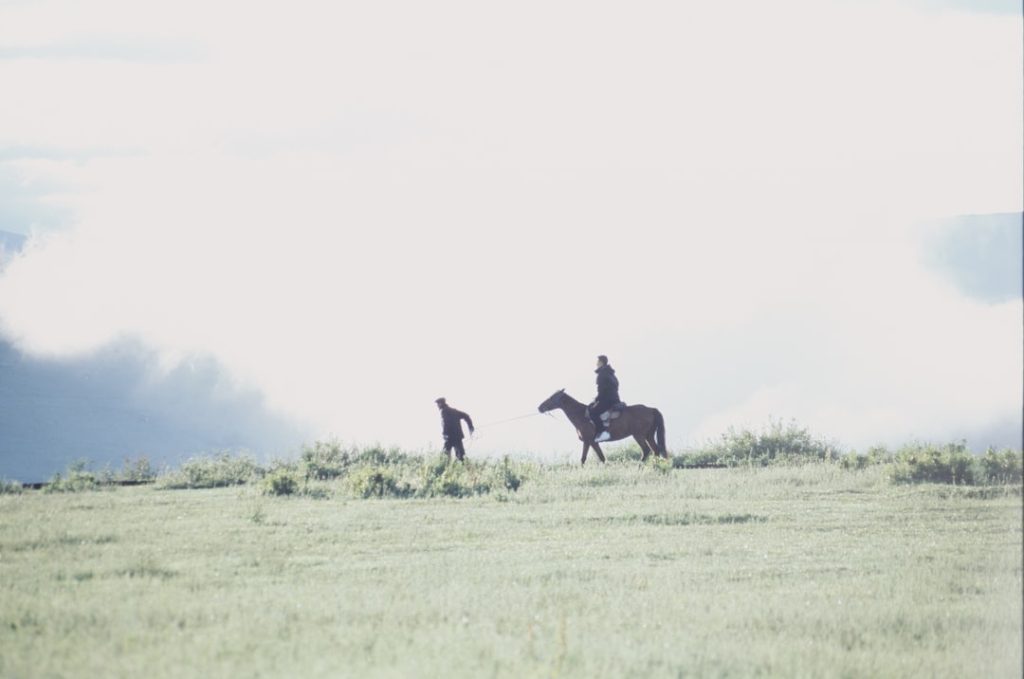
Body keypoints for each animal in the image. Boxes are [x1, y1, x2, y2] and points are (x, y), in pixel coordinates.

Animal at [537, 389, 667, 465]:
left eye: (552, 397)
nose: (540, 408)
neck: (581, 415)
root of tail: (650, 409)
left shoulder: (589, 441)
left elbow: (588, 458)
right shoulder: (592, 442)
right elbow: (598, 458)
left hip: (639, 435)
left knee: (646, 451)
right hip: (649, 435)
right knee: (655, 450)